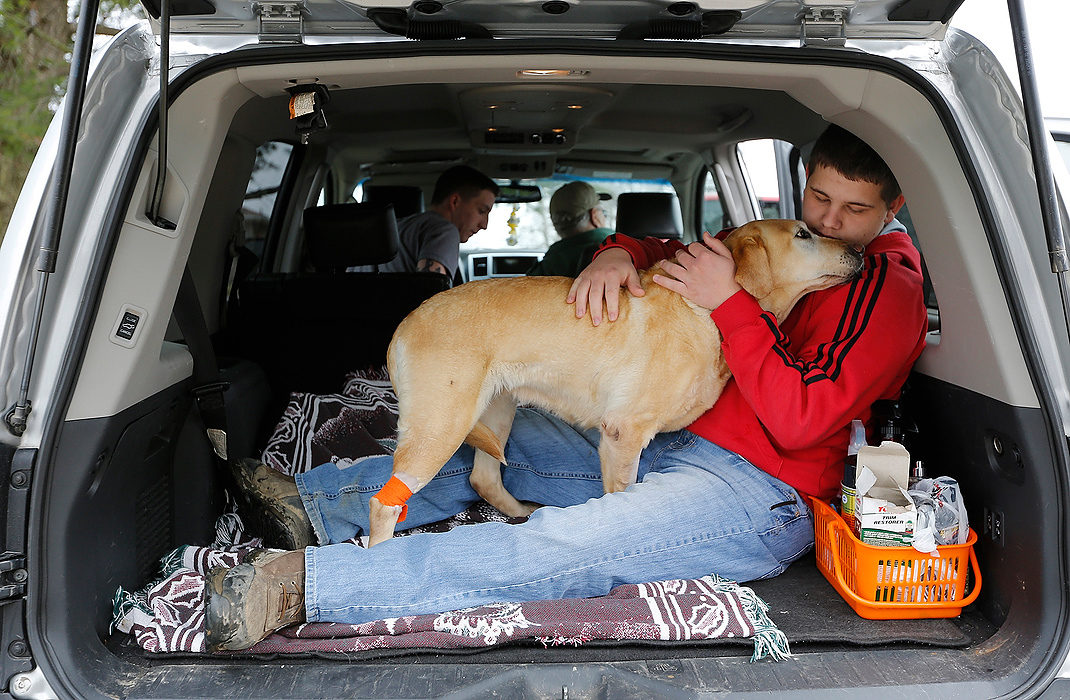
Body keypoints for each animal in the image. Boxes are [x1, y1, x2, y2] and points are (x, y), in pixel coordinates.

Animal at [365, 222, 860, 545]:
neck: (704, 310)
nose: (858, 249)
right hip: (440, 426)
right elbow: (620, 498)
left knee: (482, 478)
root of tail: (402, 325)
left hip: (494, 413)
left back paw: (522, 513)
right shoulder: (624, 433)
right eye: (803, 234)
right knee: (384, 503)